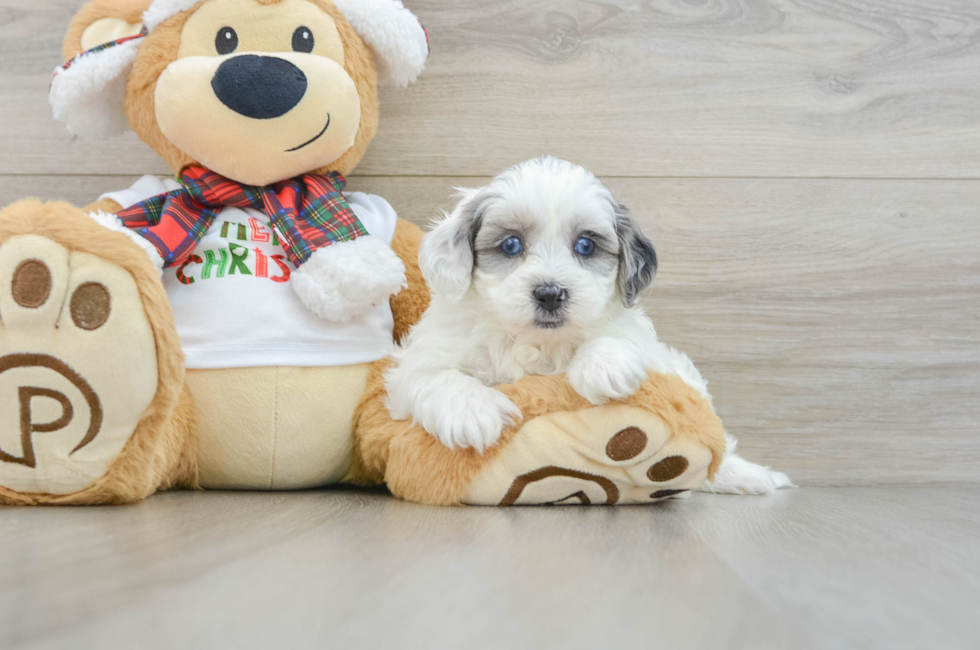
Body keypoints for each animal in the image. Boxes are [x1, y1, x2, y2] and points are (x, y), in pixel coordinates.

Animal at [386, 158, 792, 496]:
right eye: (511, 244)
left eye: (585, 246)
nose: (550, 294)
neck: (538, 342)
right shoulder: (419, 362)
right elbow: (434, 376)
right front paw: (472, 412)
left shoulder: (651, 351)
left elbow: (620, 338)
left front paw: (603, 367)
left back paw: (746, 476)